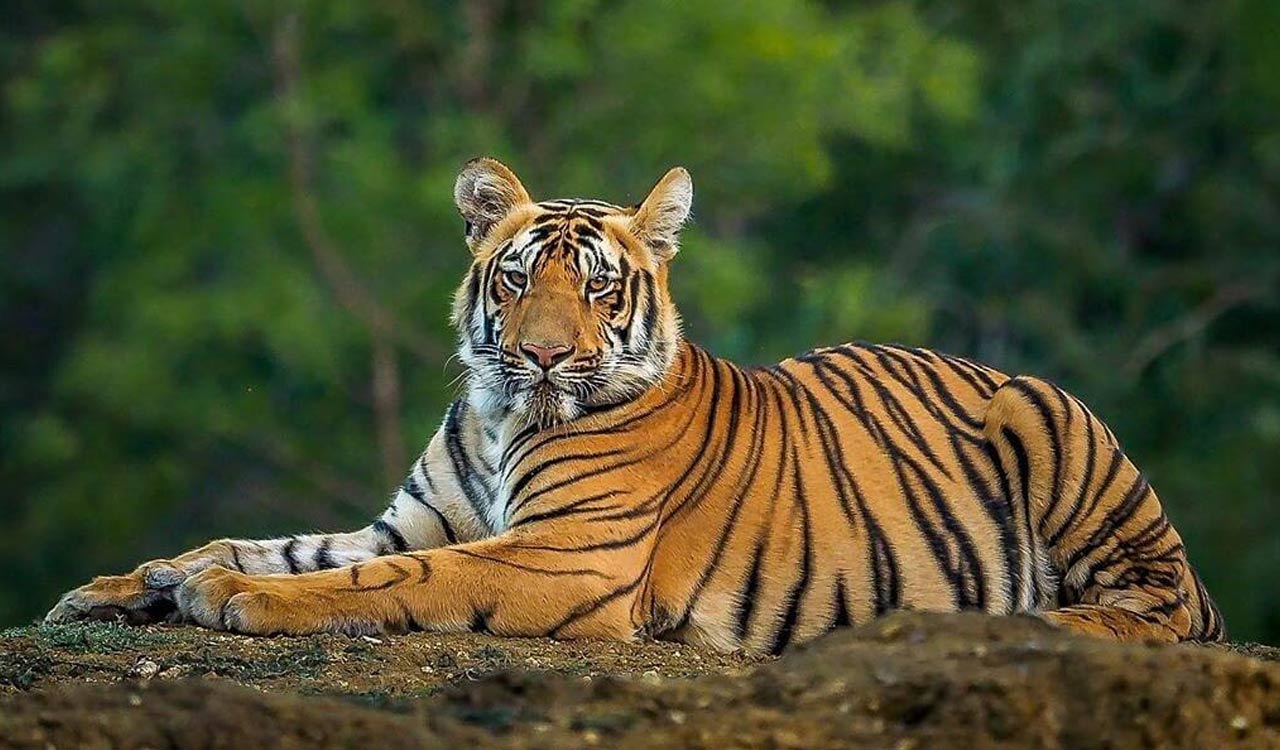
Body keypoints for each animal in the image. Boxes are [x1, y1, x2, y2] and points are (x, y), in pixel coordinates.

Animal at [45, 157, 1224, 652]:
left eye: (600, 288)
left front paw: (229, 600)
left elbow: (379, 580)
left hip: (1051, 423)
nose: (540, 355)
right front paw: (131, 584)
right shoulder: (411, 519)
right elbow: (271, 542)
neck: (498, 414)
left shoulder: (564, 555)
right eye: (519, 279)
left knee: (1159, 611)